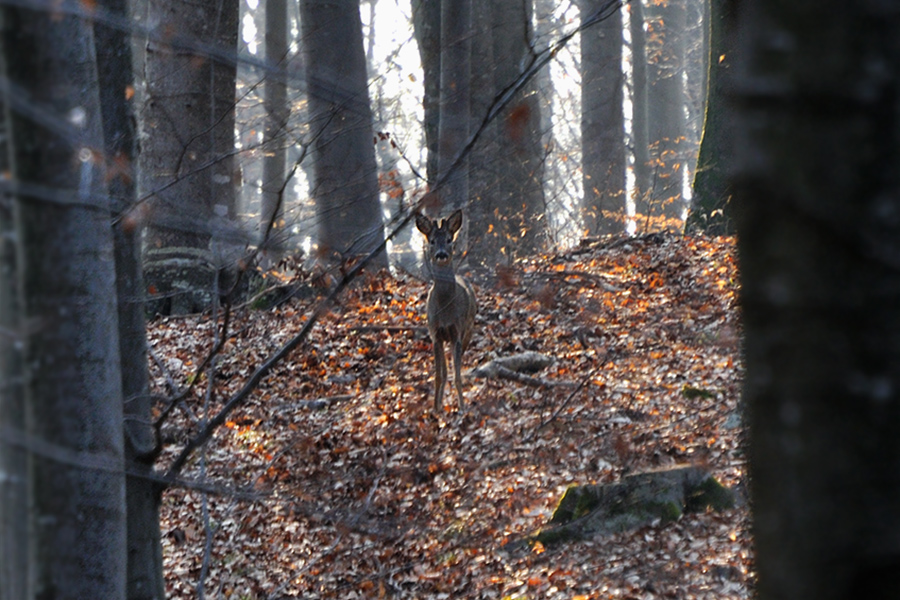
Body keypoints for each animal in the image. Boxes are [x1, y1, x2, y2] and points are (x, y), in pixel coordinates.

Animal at [416, 209, 478, 410]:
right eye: (432, 240)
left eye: (450, 239)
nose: (442, 254)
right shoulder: (435, 333)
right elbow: (438, 375)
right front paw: (436, 408)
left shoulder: (457, 332)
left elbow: (456, 374)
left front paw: (462, 407)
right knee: (444, 369)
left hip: (468, 330)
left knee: (454, 365)